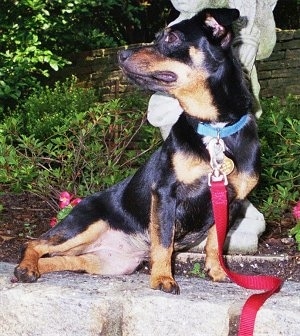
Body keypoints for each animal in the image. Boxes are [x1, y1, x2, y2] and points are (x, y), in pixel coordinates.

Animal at [14, 8, 258, 294]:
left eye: (172, 37)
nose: (121, 54)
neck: (215, 129)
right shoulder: (165, 192)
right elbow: (163, 242)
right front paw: (162, 278)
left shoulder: (232, 201)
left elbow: (216, 242)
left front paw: (218, 271)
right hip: (82, 225)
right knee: (33, 243)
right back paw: (25, 268)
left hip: (105, 262)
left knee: (60, 260)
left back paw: (33, 269)